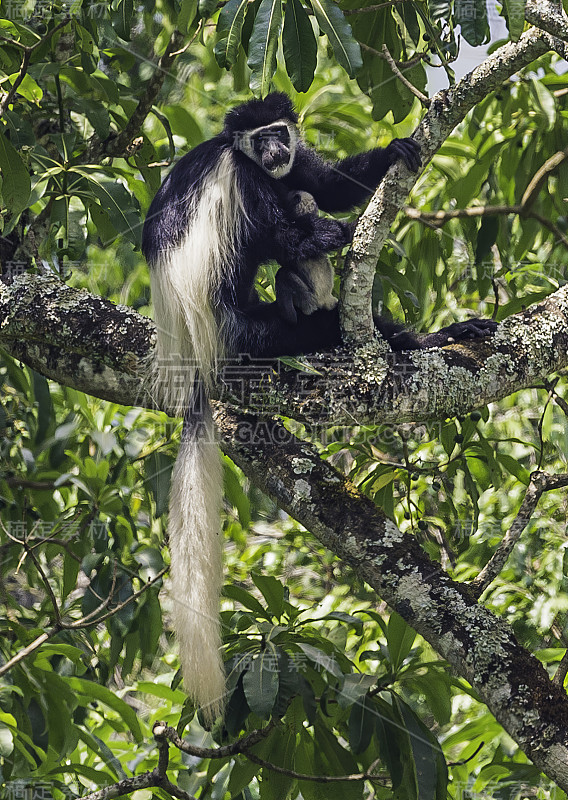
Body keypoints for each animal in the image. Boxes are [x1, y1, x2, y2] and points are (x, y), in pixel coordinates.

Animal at [141, 92, 492, 720]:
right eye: (260, 139)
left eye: (280, 132)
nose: (274, 150)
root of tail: (196, 360)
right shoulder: (242, 178)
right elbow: (276, 227)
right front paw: (327, 237)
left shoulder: (292, 161)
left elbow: (324, 184)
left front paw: (395, 150)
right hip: (239, 327)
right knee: (284, 272)